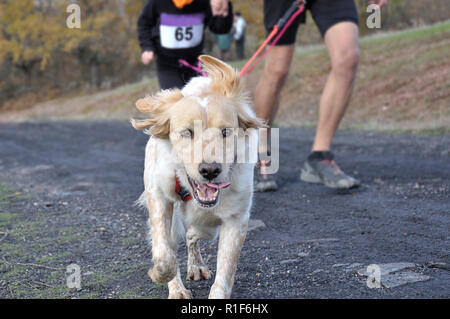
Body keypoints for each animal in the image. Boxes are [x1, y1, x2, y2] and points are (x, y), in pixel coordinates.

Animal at [131, 55, 264, 300]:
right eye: (187, 132)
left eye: (225, 131)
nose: (210, 170)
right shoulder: (159, 196)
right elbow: (165, 254)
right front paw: (163, 277)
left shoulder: (237, 218)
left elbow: (226, 270)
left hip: (209, 227)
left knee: (194, 235)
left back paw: (196, 266)